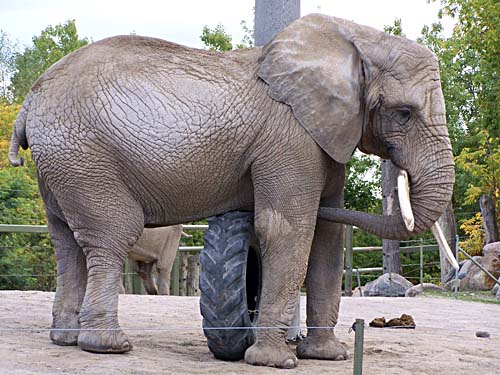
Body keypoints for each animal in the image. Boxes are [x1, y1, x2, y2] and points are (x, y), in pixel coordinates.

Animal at [7, 15, 456, 370]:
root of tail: (28, 103)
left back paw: (66, 339)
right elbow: (288, 228)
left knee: (66, 243)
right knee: (111, 235)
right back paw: (108, 346)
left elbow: (326, 234)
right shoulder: (290, 138)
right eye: (404, 113)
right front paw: (275, 362)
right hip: (84, 159)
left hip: (62, 166)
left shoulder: (326, 137)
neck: (355, 40)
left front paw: (328, 356)